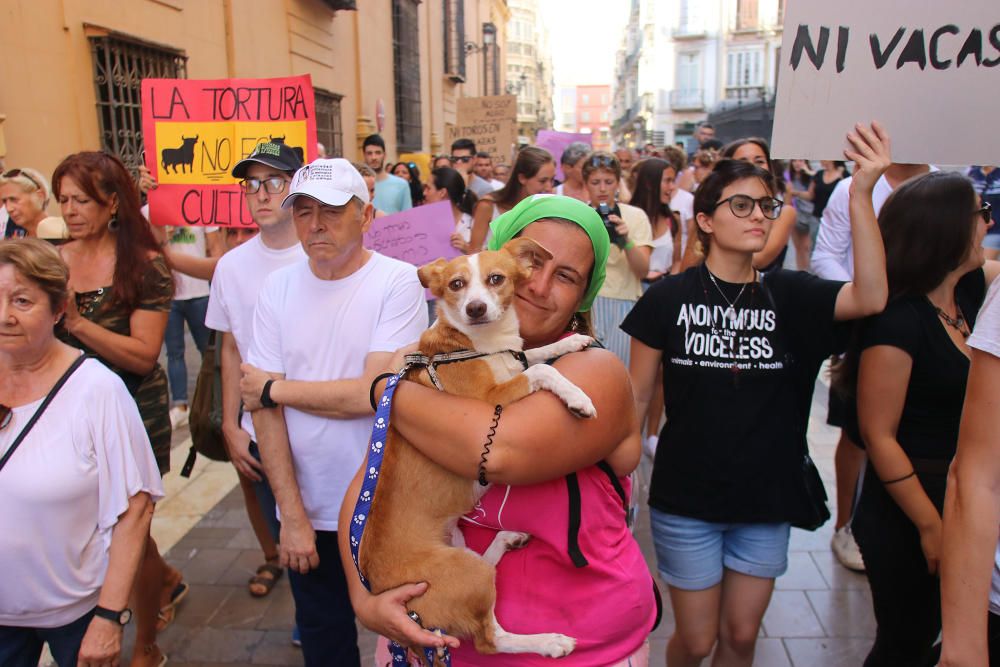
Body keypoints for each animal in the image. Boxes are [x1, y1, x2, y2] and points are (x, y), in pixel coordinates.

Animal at [360, 237, 592, 660]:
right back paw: (548, 641)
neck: (480, 346)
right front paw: (578, 397)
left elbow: (532, 354)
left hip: (462, 549)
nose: (476, 309)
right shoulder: (490, 400)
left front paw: (571, 340)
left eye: (496, 279)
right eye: (456, 284)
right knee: (489, 640)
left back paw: (506, 539)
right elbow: (542, 369)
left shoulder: (513, 361)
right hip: (468, 575)